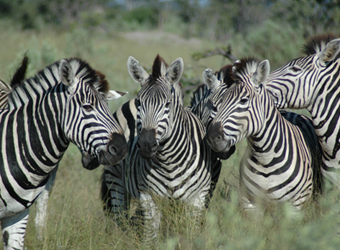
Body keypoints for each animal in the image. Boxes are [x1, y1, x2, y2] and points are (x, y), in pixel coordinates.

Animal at [203, 58, 322, 215]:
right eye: (217, 105)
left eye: (243, 100)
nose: (212, 138)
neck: (265, 158)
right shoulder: (250, 204)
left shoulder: (296, 204)